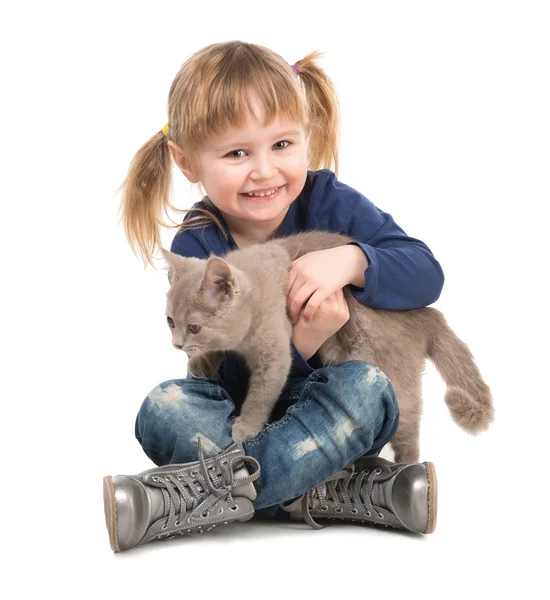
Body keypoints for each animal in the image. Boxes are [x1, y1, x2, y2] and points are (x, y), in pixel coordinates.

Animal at [163, 231, 496, 464]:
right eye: (170, 321)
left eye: (194, 326)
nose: (177, 344)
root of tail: (427, 314)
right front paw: (201, 362)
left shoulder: (276, 351)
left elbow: (262, 393)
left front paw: (246, 426)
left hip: (385, 365)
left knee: (407, 425)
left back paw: (406, 468)